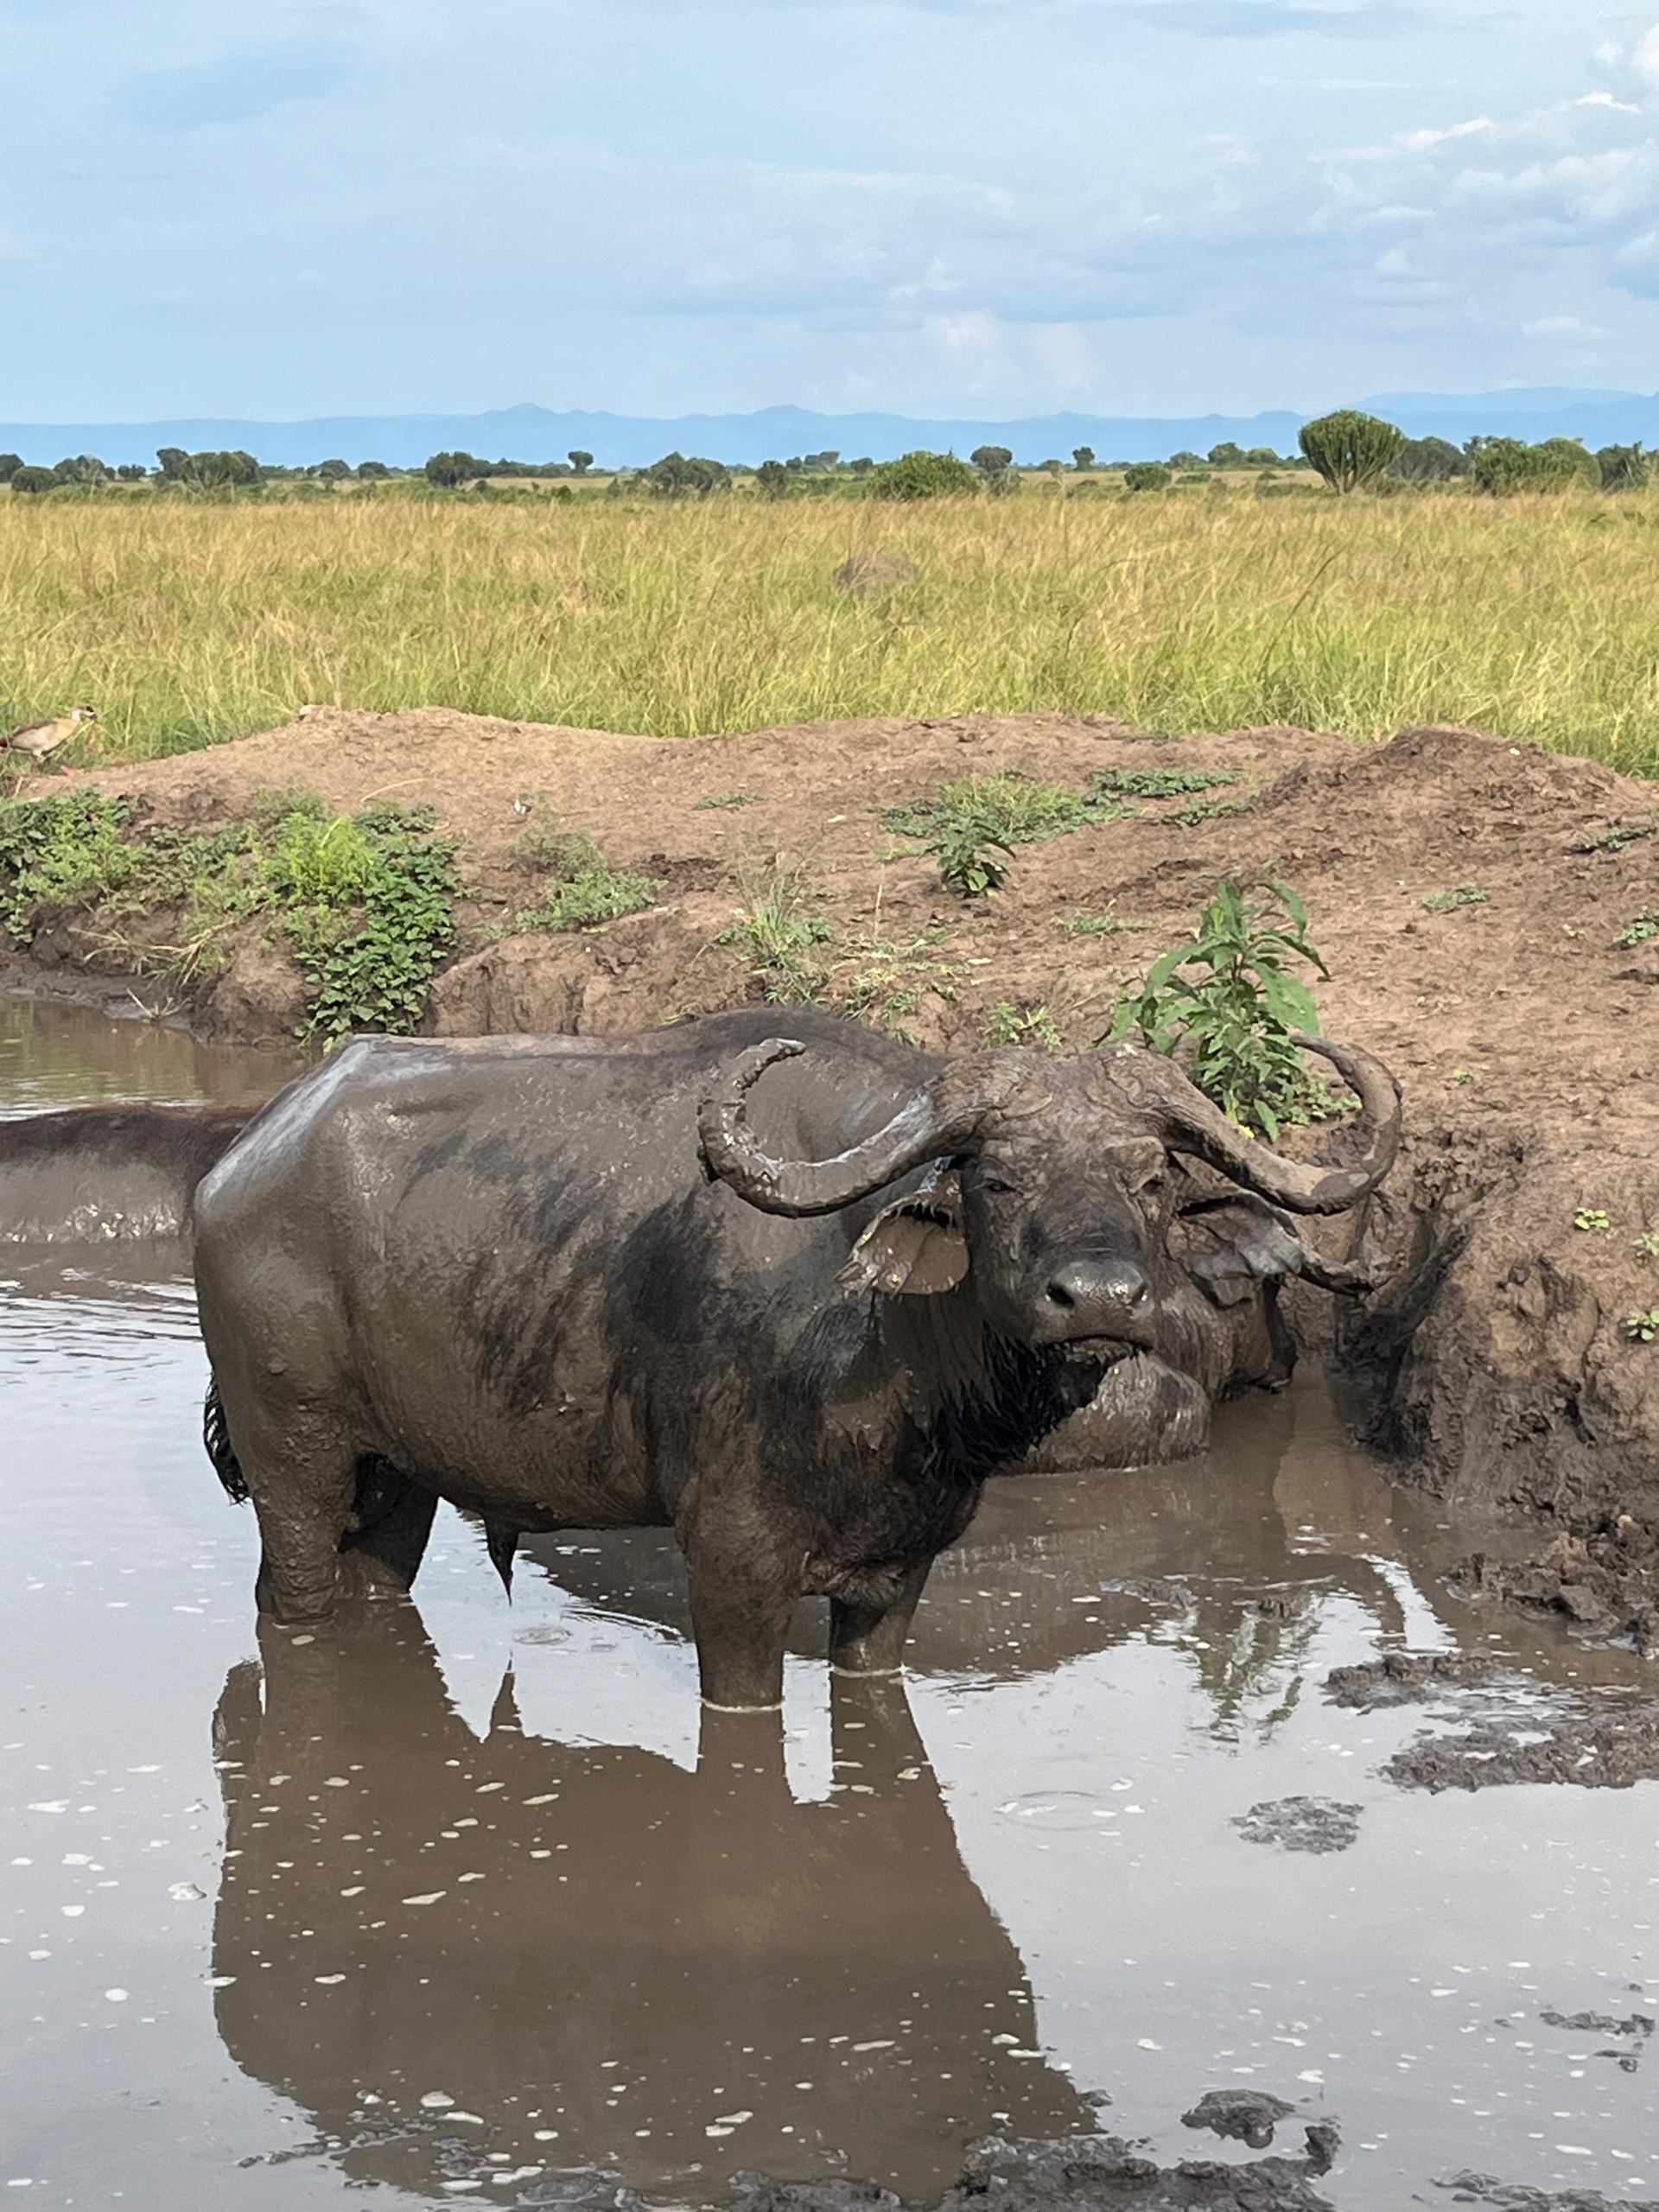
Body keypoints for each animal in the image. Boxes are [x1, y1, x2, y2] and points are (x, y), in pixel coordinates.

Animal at [183, 1007, 1399, 1708]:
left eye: (1151, 1178)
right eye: (998, 1179)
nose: (1097, 1298)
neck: (887, 1350)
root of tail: (241, 1161)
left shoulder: (899, 1577)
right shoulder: (732, 1570)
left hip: (397, 1475)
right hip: (294, 1458)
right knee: (292, 1595)